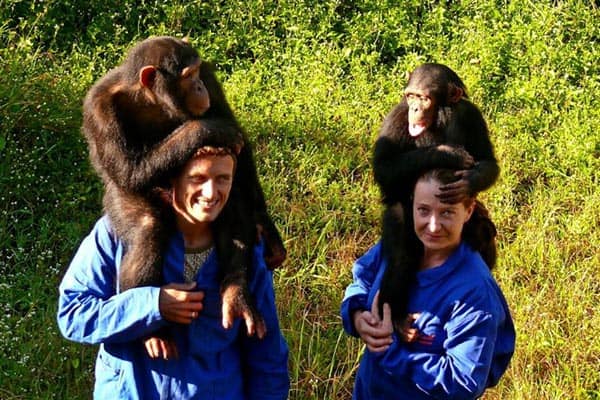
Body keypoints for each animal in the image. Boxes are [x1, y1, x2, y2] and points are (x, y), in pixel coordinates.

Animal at [82, 36, 286, 336]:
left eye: (197, 72)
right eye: (188, 77)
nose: (199, 86)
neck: (153, 100)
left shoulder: (211, 77)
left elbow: (241, 150)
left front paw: (265, 225)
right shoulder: (99, 109)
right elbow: (128, 170)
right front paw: (209, 129)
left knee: (233, 199)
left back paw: (235, 292)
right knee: (147, 226)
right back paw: (152, 330)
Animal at [372, 62, 500, 324]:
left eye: (425, 98)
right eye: (411, 96)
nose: (415, 108)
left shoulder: (471, 115)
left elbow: (487, 160)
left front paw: (467, 182)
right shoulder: (397, 116)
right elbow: (384, 166)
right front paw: (448, 154)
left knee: (483, 232)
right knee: (400, 253)